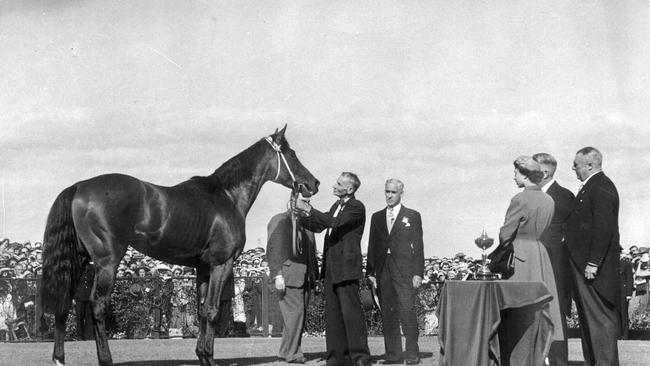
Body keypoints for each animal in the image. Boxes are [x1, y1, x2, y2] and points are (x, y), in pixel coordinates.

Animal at [38, 126, 318, 366]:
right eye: (292, 154)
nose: (313, 184)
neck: (226, 196)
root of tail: (79, 187)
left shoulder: (203, 268)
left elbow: (202, 311)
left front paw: (202, 355)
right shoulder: (222, 264)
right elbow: (213, 310)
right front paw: (210, 359)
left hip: (79, 259)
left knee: (63, 304)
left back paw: (59, 358)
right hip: (107, 260)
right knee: (98, 305)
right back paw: (105, 359)